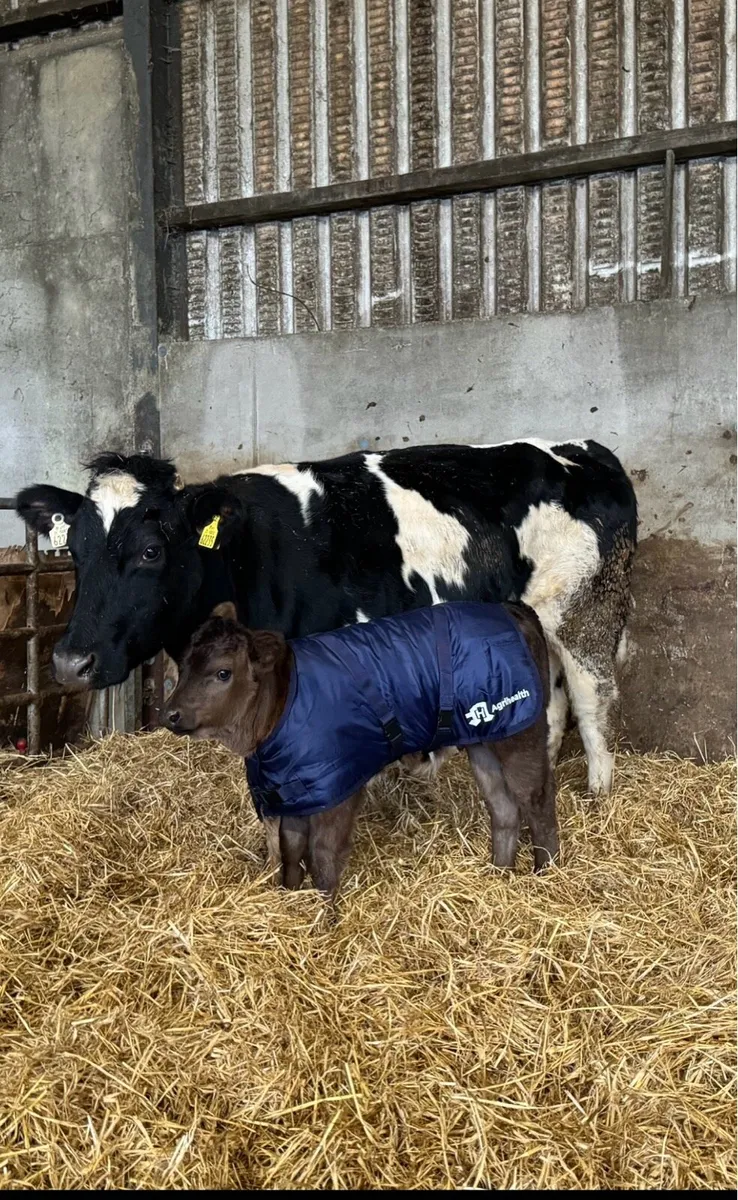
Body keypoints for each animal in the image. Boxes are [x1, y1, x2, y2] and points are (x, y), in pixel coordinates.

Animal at [15, 439, 637, 794]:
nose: (70, 662)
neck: (251, 557)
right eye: (75, 551)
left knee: (594, 703)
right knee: (551, 703)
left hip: (584, 610)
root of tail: (583, 449)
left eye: (150, 551)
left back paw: (598, 797)